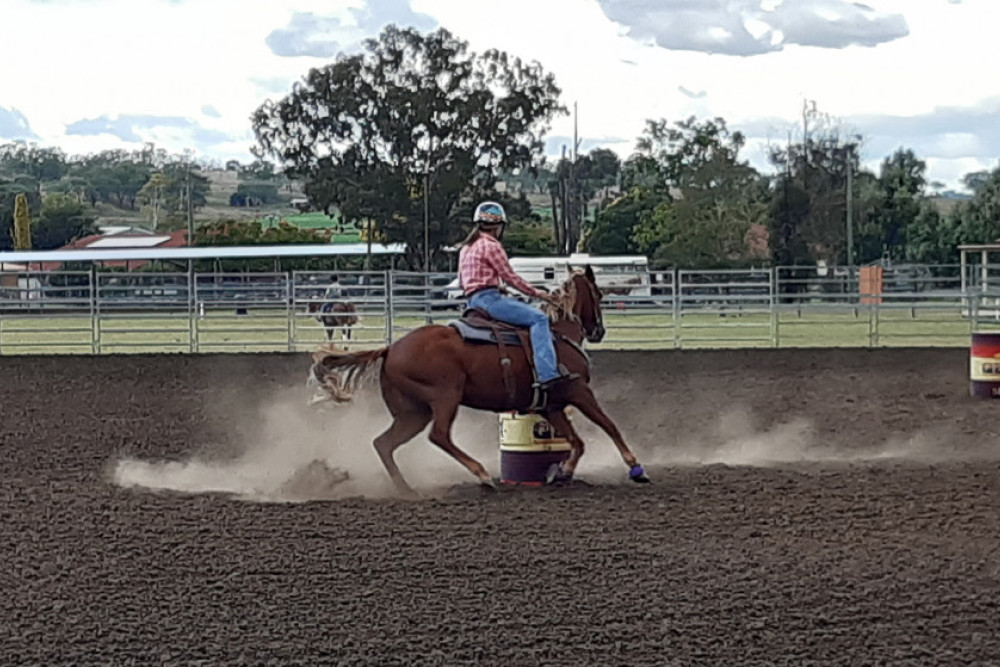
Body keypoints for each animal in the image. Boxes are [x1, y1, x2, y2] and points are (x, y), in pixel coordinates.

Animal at [312, 266, 652, 496]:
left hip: (413, 412)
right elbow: (608, 426)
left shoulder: (551, 406)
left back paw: (406, 489)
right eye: (598, 294)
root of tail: (390, 349)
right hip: (445, 397)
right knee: (439, 436)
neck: (558, 333)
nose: (599, 332)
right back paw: (483, 475)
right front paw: (636, 468)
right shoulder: (580, 391)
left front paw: (563, 473)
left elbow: (576, 442)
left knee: (384, 443)